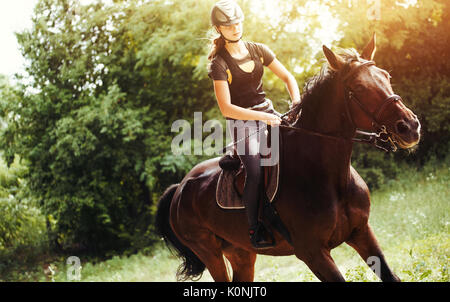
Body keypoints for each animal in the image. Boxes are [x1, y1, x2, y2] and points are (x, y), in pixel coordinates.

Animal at [156, 34, 422, 282]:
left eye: (386, 76)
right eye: (358, 88)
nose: (409, 127)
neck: (327, 176)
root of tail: (179, 188)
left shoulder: (362, 232)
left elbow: (390, 276)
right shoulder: (313, 253)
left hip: (241, 253)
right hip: (209, 252)